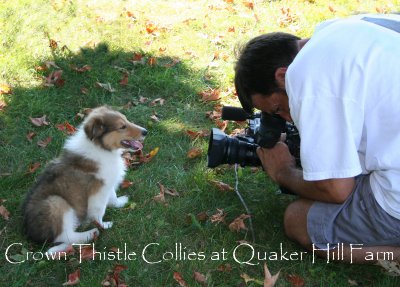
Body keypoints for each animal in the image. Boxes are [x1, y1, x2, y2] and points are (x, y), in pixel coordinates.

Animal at [22, 107, 147, 254]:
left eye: (126, 120)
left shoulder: (107, 183)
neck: (101, 147)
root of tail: (31, 234)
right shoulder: (98, 192)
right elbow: (99, 212)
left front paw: (121, 202)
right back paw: (91, 233)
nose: (146, 131)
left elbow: (113, 197)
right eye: (122, 126)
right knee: (65, 236)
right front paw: (103, 225)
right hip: (56, 202)